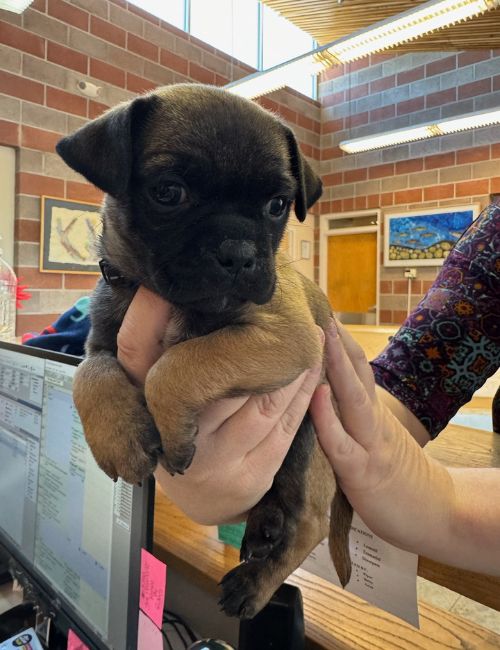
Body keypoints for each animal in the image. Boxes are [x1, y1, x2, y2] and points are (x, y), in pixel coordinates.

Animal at [56, 83, 352, 616]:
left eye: (278, 204)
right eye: (169, 192)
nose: (240, 255)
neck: (158, 293)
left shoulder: (287, 337)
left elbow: (179, 364)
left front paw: (171, 425)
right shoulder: (99, 344)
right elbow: (89, 376)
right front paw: (119, 437)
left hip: (309, 441)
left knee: (309, 522)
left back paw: (255, 582)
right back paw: (263, 526)